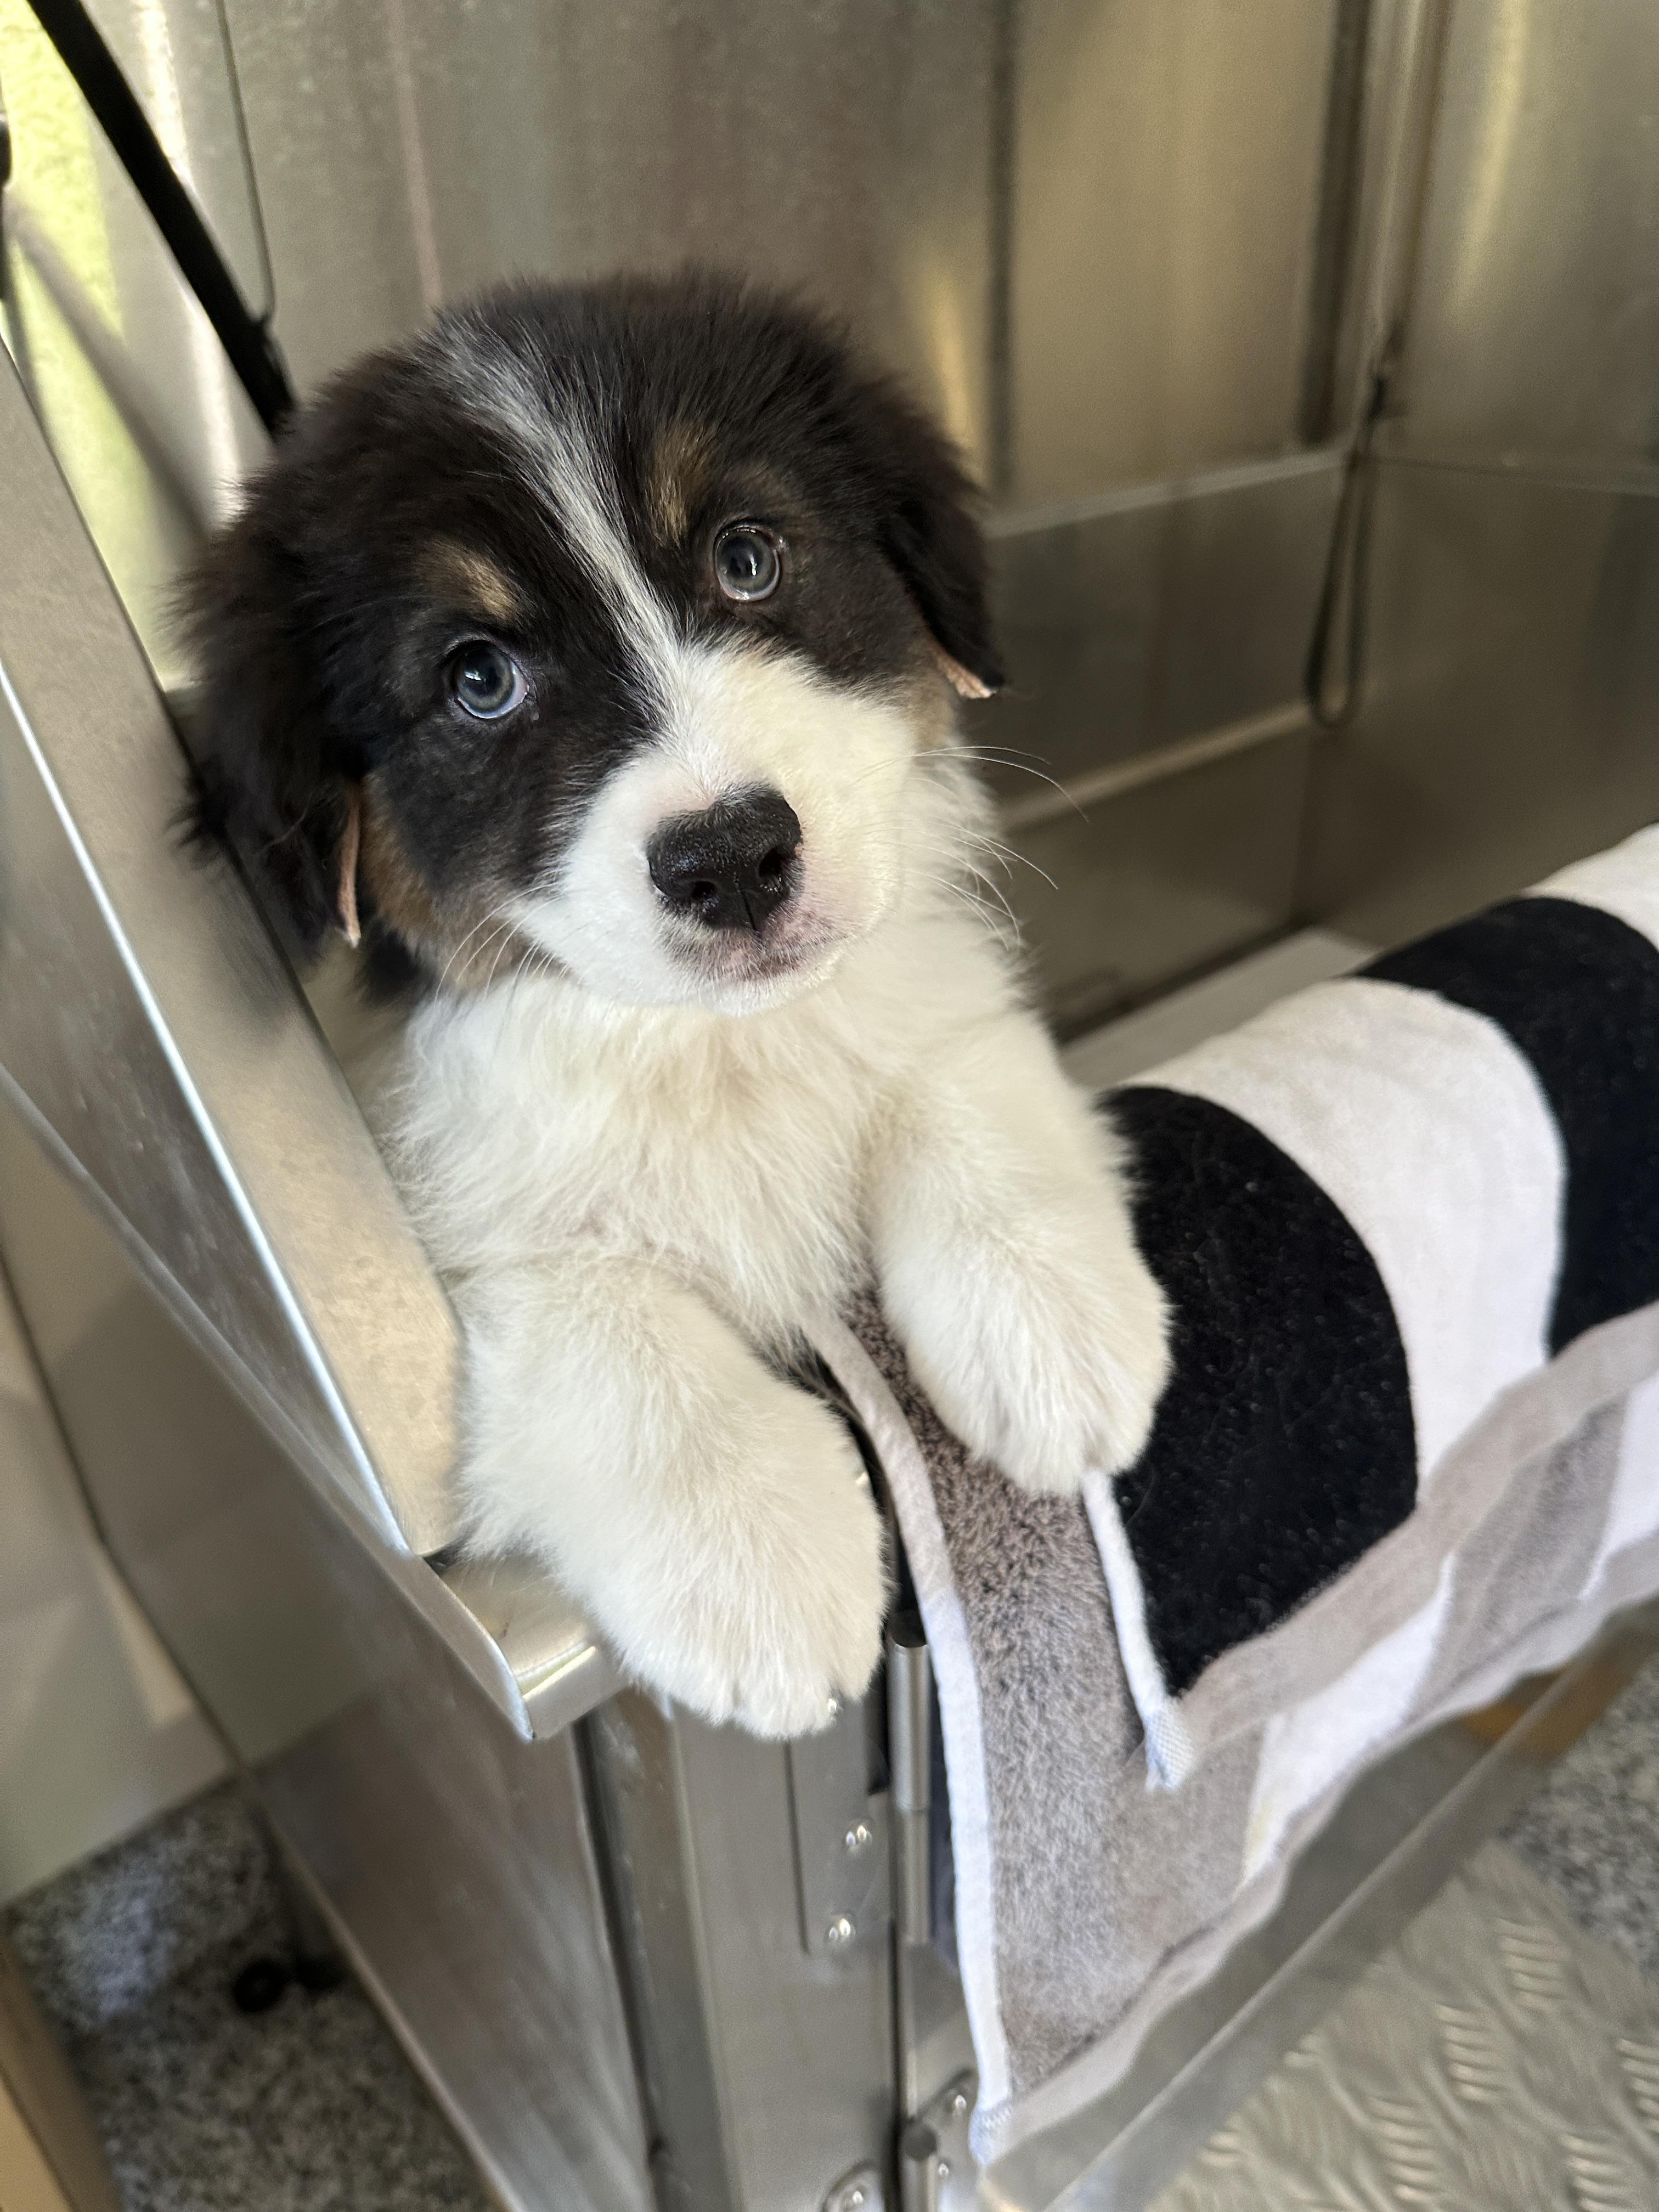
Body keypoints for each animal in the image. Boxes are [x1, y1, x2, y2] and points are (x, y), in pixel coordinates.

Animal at [185, 271, 1170, 1736]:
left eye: (748, 557)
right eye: (478, 677)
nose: (732, 857)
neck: (712, 1049)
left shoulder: (922, 973)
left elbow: (951, 1062)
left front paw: (1057, 1333)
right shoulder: (459, 1240)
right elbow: (597, 1318)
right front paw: (760, 1565)